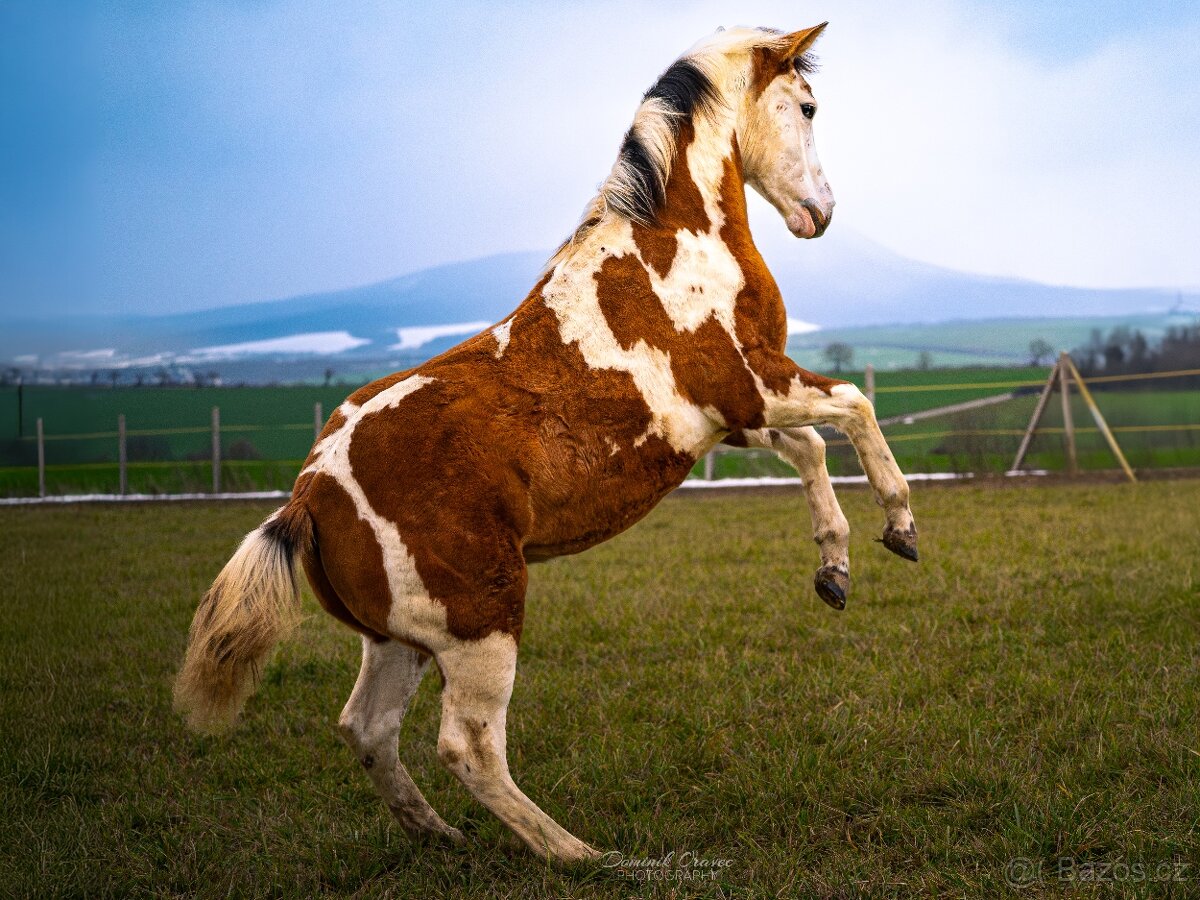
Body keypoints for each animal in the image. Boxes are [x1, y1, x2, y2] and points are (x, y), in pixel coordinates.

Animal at [174, 23, 918, 863]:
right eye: (808, 105)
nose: (820, 212)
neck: (672, 247)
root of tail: (309, 495)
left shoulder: (731, 418)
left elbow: (813, 449)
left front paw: (834, 570)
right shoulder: (752, 385)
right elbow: (854, 408)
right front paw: (900, 528)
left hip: (399, 640)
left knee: (367, 729)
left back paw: (440, 835)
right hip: (482, 623)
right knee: (467, 747)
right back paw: (579, 855)